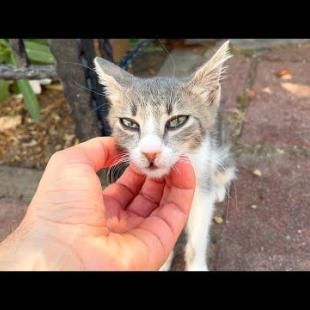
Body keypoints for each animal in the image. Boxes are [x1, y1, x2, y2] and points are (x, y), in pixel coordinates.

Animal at [94, 41, 235, 272]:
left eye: (178, 121)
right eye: (129, 123)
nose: (150, 152)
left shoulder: (201, 180)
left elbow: (198, 234)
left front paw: (196, 265)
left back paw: (218, 188)